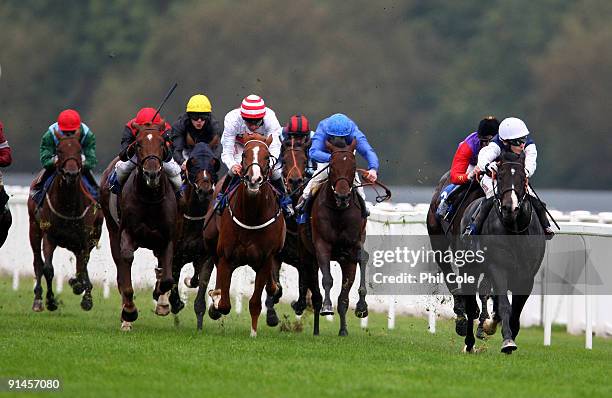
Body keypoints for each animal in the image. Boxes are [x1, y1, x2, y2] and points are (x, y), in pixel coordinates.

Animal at [27, 132, 103, 312]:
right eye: (59, 150)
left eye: (79, 149)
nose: (71, 174)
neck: (68, 205)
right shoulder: (49, 236)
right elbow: (48, 269)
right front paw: (50, 301)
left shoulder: (85, 239)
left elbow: (82, 266)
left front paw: (83, 293)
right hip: (34, 228)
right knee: (37, 262)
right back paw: (38, 299)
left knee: (82, 263)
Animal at [100, 119, 177, 332]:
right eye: (139, 144)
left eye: (162, 143)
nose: (152, 173)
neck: (150, 198)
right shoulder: (127, 232)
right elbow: (126, 264)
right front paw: (129, 312)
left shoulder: (167, 237)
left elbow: (167, 278)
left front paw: (162, 302)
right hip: (112, 230)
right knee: (120, 268)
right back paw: (126, 317)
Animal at [203, 134, 284, 336]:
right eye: (244, 154)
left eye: (267, 156)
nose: (253, 179)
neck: (252, 217)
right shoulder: (226, 257)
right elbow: (224, 303)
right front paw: (215, 303)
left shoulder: (264, 259)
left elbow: (255, 302)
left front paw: (253, 332)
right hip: (212, 242)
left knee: (271, 284)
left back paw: (275, 288)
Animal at [298, 138, 366, 336]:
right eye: (333, 166)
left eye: (353, 166)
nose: (343, 196)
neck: (339, 211)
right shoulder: (322, 246)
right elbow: (327, 279)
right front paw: (327, 307)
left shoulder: (352, 249)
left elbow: (345, 293)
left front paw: (361, 308)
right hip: (308, 257)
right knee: (315, 292)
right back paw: (316, 329)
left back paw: (342, 328)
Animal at [460, 150, 544, 354]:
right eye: (500, 176)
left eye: (523, 178)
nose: (509, 207)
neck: (515, 228)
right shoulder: (498, 268)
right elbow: (505, 305)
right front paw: (507, 340)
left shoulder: (527, 277)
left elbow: (515, 310)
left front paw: (509, 334)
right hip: (469, 268)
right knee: (470, 303)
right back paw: (470, 342)